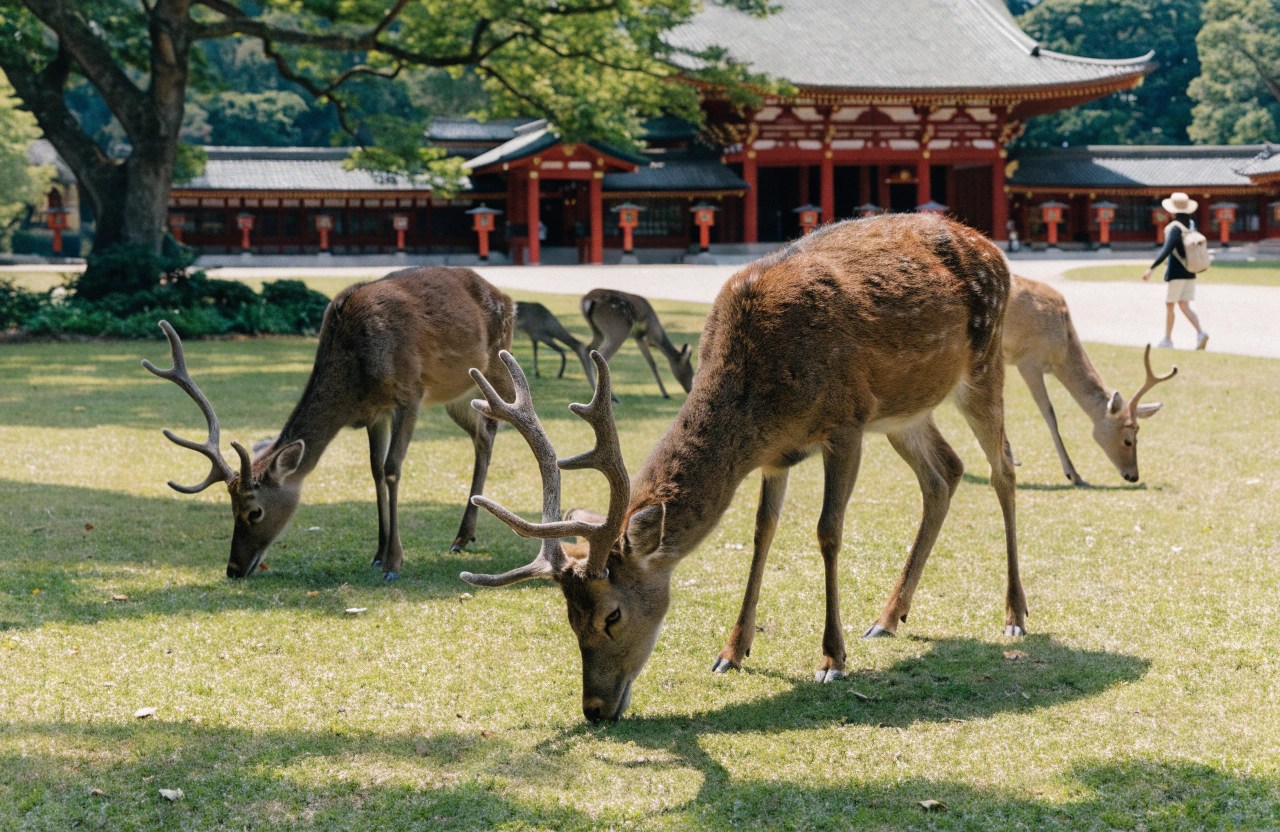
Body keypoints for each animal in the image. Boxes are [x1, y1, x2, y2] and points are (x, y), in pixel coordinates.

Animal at [143, 266, 514, 581]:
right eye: (230, 508)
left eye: (254, 512)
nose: (233, 569)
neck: (354, 378)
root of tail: (504, 295)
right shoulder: (375, 411)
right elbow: (375, 469)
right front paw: (378, 554)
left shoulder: (411, 392)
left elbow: (393, 468)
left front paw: (394, 563)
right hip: (457, 397)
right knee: (483, 435)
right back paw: (465, 536)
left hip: (496, 366)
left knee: (506, 424)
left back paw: (476, 534)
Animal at [462, 214, 1024, 722]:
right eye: (568, 617)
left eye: (611, 614)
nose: (595, 709)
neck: (759, 402)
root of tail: (990, 246)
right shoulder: (777, 455)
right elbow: (761, 533)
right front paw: (731, 652)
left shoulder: (846, 421)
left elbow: (827, 531)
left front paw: (832, 658)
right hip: (905, 412)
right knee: (945, 472)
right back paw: (888, 617)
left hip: (983, 363)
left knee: (1003, 468)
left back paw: (1015, 613)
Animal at [1003, 275, 1177, 486]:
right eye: (1128, 440)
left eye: (1138, 437)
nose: (1134, 476)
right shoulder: (1028, 361)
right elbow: (1049, 413)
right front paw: (1074, 475)